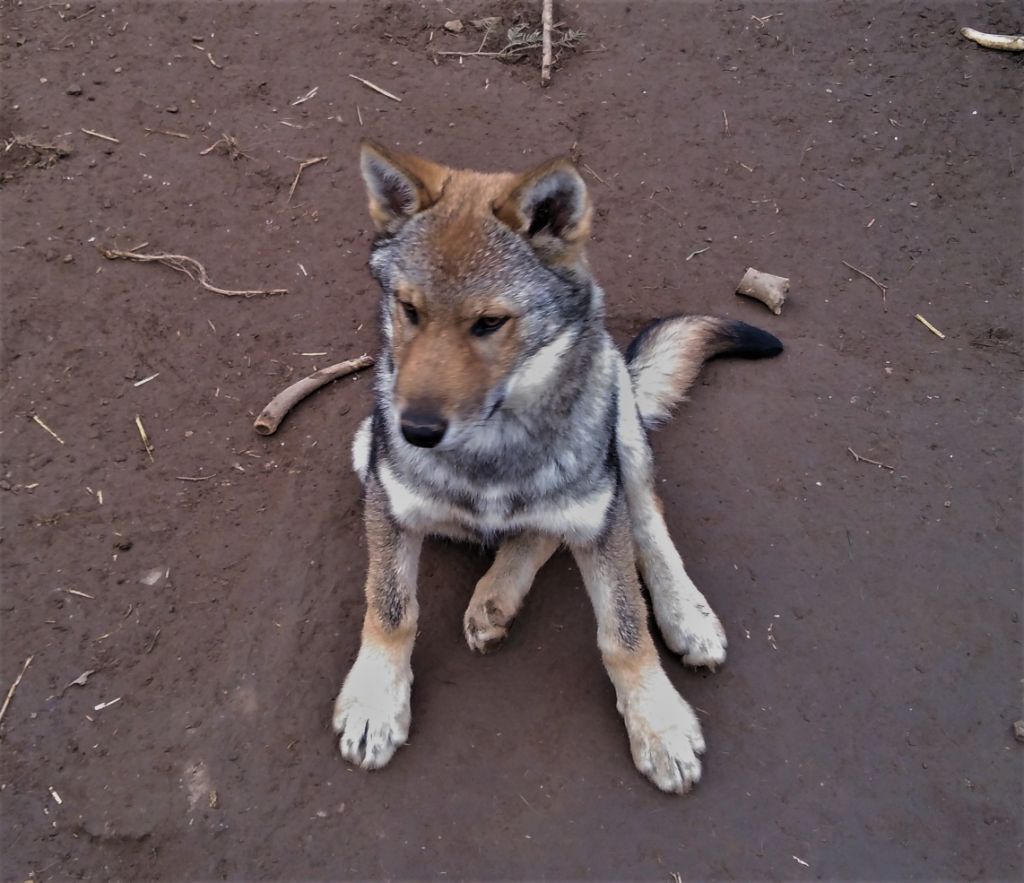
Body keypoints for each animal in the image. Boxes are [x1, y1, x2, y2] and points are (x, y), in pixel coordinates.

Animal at [331, 143, 778, 794]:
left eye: (489, 323)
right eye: (409, 309)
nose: (415, 430)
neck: (494, 455)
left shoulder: (599, 521)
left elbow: (624, 631)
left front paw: (660, 724)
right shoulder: (390, 504)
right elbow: (390, 608)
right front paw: (374, 704)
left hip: (620, 439)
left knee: (643, 522)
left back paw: (684, 614)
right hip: (364, 445)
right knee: (534, 532)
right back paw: (494, 597)